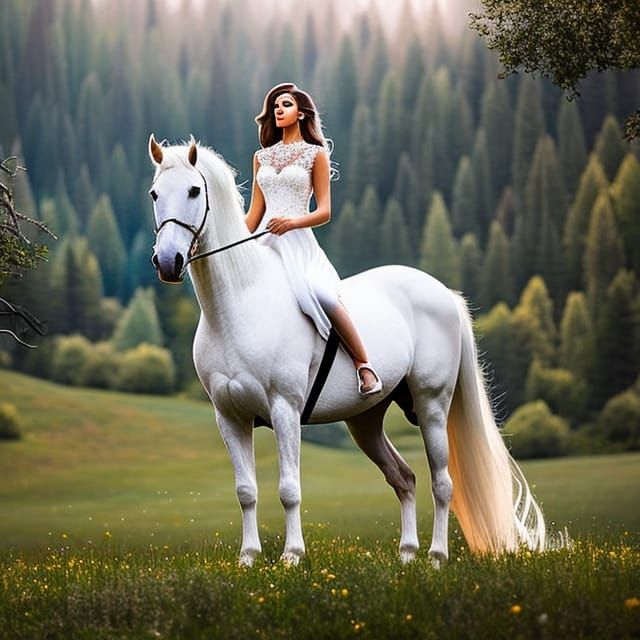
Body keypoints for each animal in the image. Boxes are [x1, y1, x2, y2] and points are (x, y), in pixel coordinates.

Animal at [147, 134, 546, 567]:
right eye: (154, 193)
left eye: (194, 190)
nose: (167, 261)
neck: (239, 303)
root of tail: (442, 292)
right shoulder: (230, 417)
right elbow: (246, 490)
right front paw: (248, 558)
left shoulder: (285, 409)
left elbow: (289, 488)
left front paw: (291, 556)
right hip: (366, 421)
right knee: (404, 477)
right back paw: (407, 555)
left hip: (431, 405)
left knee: (442, 483)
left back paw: (436, 557)